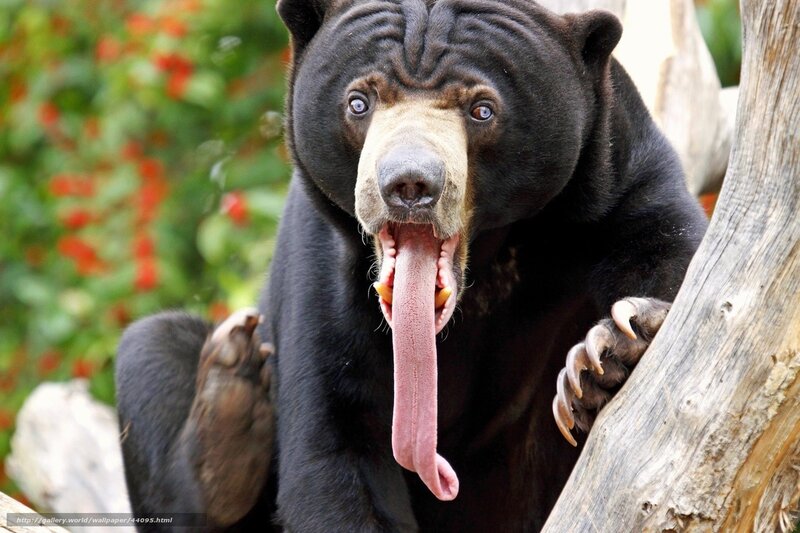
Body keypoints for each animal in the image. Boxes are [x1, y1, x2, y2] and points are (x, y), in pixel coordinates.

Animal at [114, 0, 709, 531]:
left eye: (481, 109)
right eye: (359, 102)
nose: (408, 185)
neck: (487, 260)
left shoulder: (617, 176)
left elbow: (671, 256)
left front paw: (607, 354)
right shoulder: (323, 263)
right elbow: (334, 442)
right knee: (152, 347)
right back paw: (229, 407)